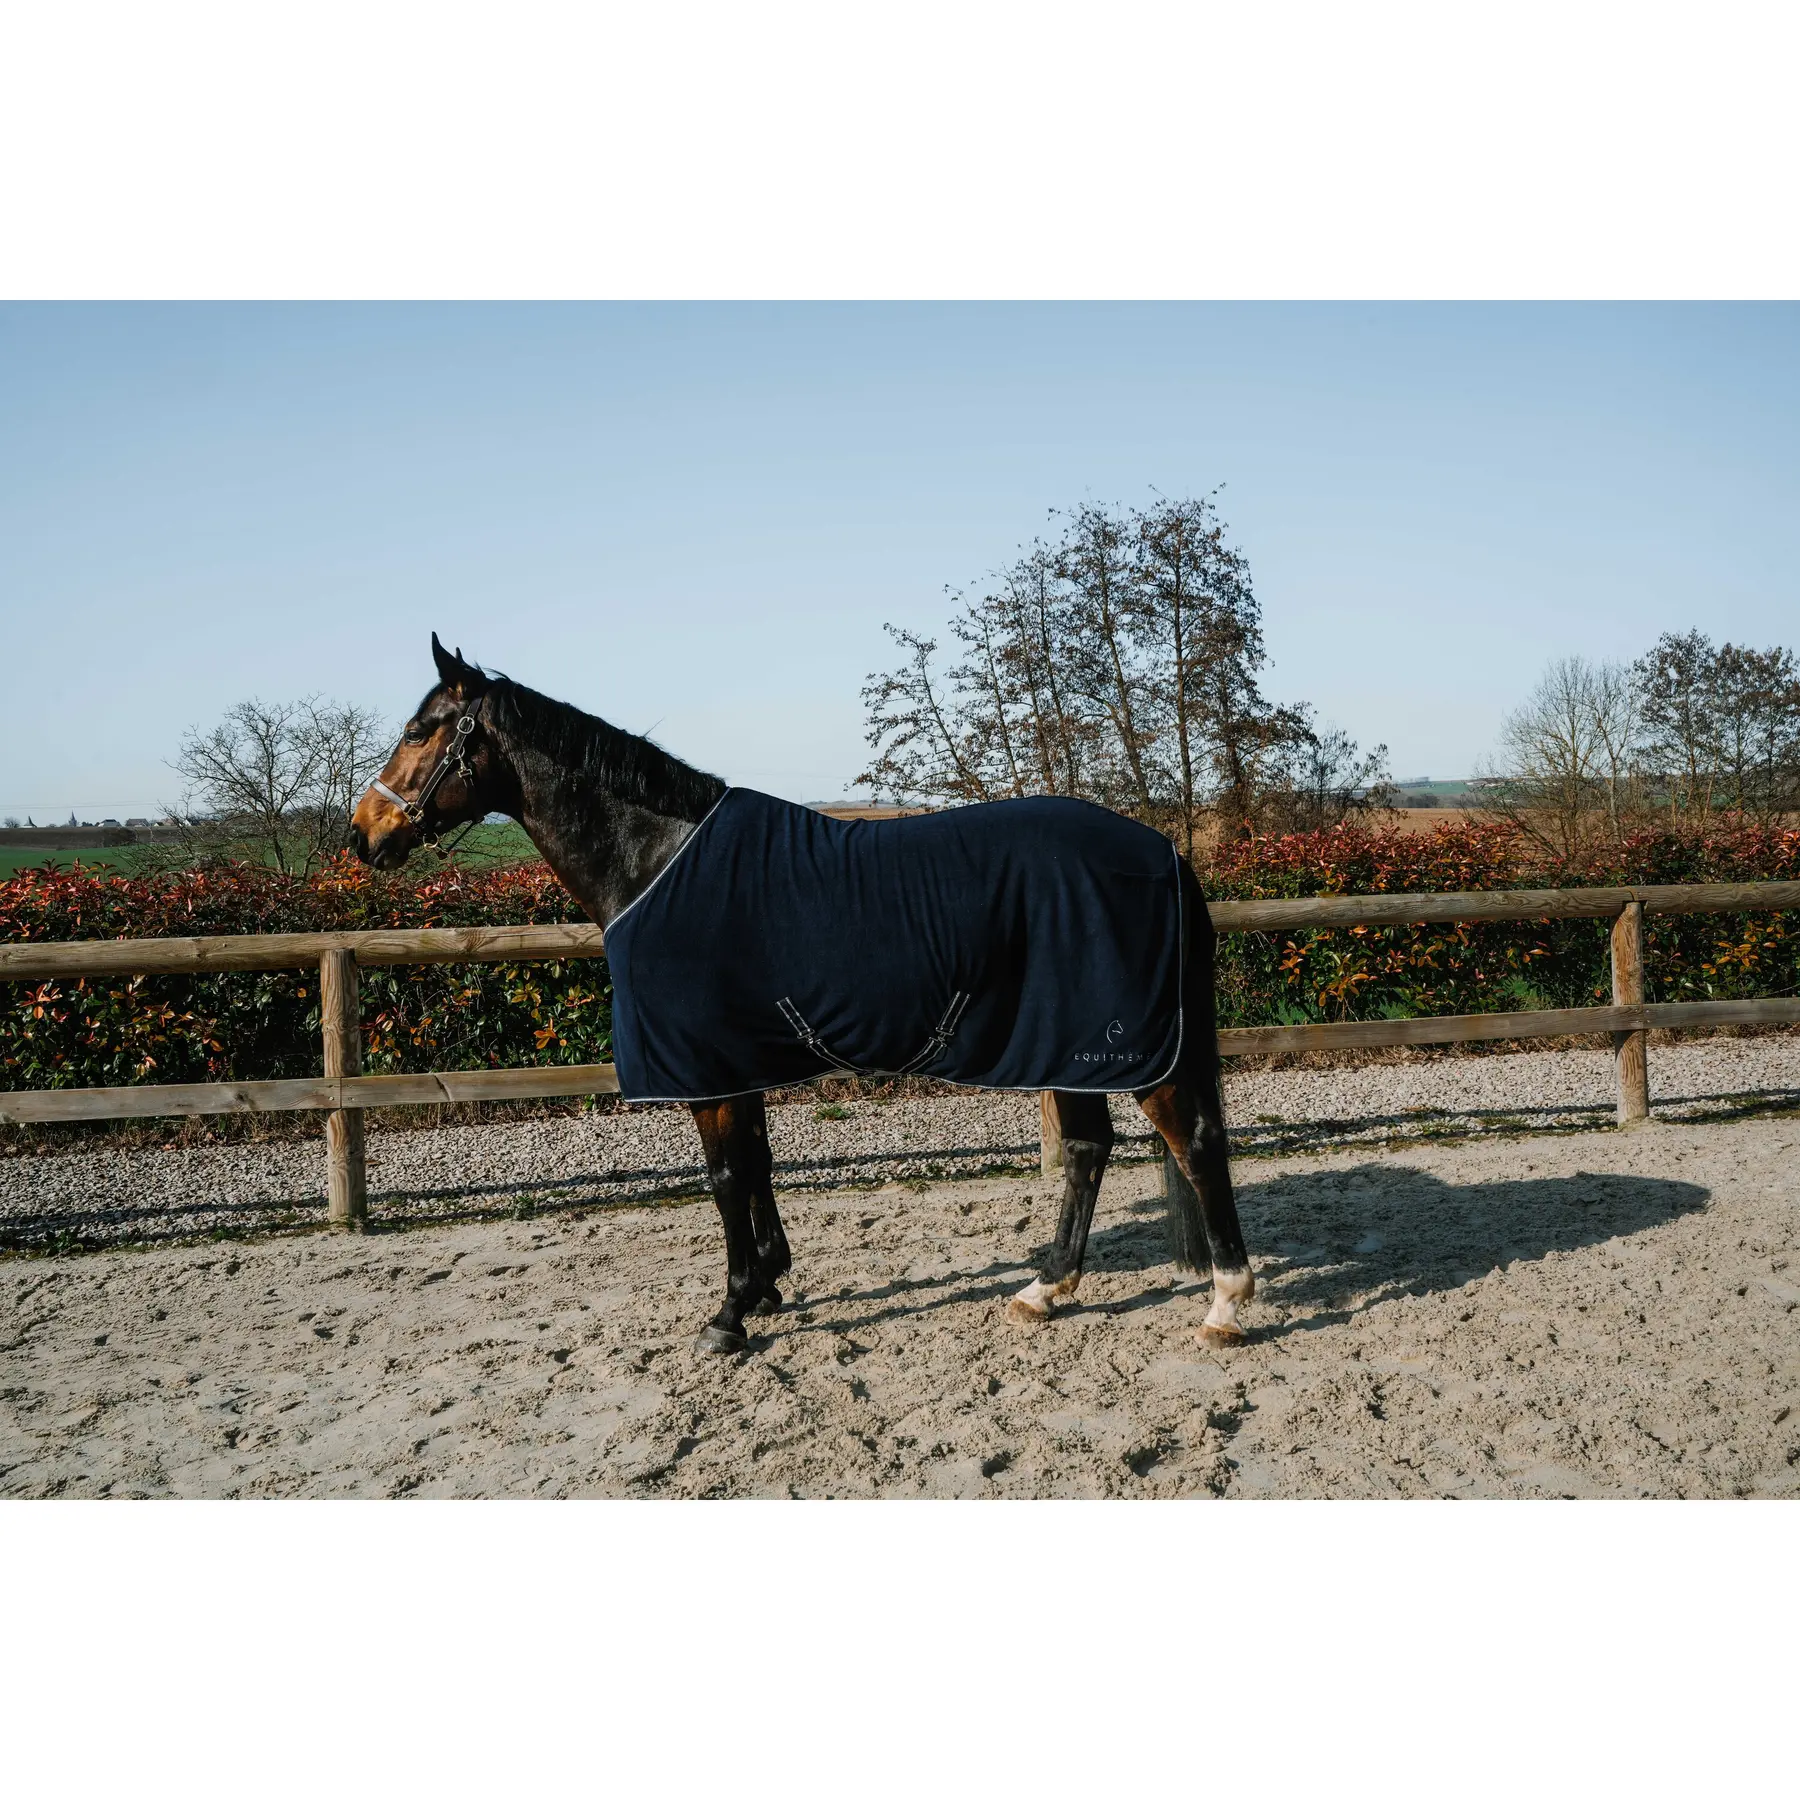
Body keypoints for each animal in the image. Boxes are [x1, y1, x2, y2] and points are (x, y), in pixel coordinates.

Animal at [351, 634, 1254, 1355]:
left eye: (419, 730)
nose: (363, 834)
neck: (658, 858)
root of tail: (1164, 852)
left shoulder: (703, 1065)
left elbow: (724, 1177)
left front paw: (728, 1315)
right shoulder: (733, 1058)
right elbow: (756, 1166)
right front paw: (768, 1285)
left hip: (1120, 1044)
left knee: (1194, 1141)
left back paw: (1225, 1304)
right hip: (1064, 1044)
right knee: (1092, 1151)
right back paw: (1045, 1289)